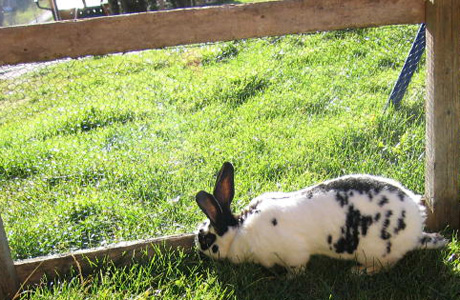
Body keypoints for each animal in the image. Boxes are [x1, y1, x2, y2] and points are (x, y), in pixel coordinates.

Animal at [196, 162, 448, 274]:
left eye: (206, 239)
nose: (198, 249)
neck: (239, 233)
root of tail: (416, 231)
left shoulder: (294, 254)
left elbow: (297, 268)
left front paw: (288, 278)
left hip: (377, 251)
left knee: (387, 264)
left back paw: (359, 271)